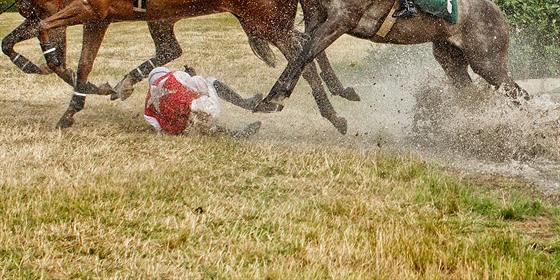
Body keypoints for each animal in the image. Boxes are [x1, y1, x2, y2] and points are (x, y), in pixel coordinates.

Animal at [26, 0, 358, 134]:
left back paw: (328, 113)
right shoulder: (98, 17)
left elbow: (45, 31)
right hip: (261, 22)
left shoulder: (89, 9)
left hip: (267, 22)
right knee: (305, 51)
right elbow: (83, 65)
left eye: (30, 6)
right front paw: (71, 111)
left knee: (303, 57)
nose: (25, 12)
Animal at [256, 0, 532, 111]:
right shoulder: (317, 19)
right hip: (450, 59)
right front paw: (272, 98)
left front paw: (273, 98)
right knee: (468, 91)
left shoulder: (341, 18)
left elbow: (303, 56)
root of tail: (498, 14)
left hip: (487, 62)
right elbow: (302, 57)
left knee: (519, 94)